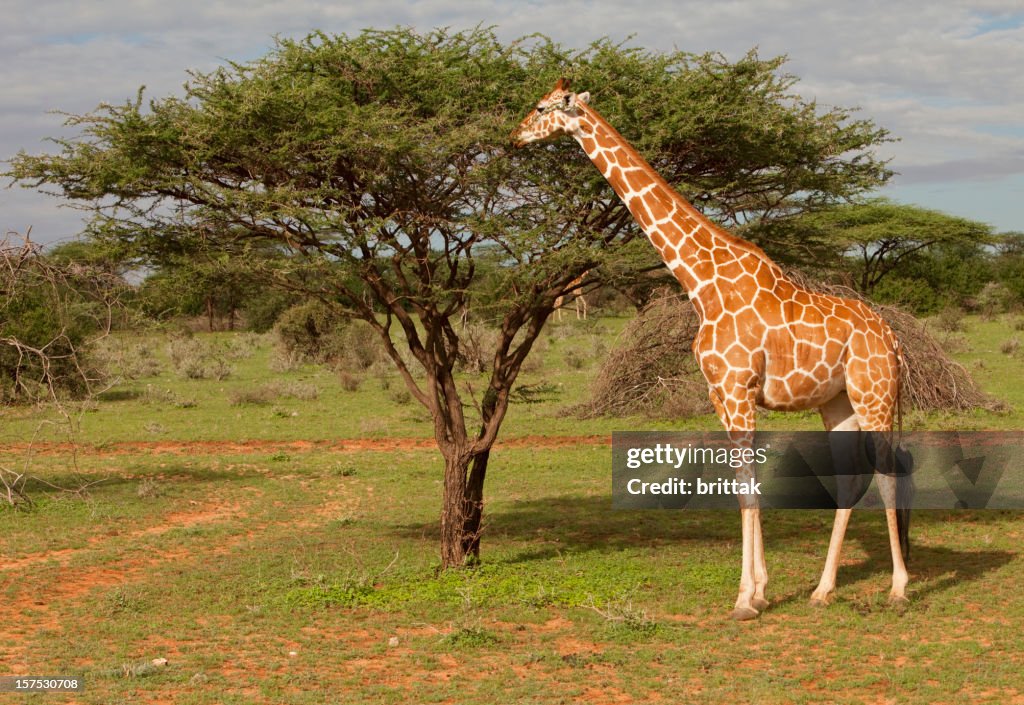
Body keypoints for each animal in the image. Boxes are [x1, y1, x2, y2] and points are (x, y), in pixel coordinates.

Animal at [516, 75, 909, 614]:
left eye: (541, 107)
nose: (514, 135)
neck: (700, 282)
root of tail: (891, 337)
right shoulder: (719, 395)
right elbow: (743, 485)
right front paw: (758, 591)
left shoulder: (739, 389)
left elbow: (747, 488)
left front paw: (747, 598)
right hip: (838, 402)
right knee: (853, 476)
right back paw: (823, 589)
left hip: (875, 393)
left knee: (888, 472)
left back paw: (899, 587)